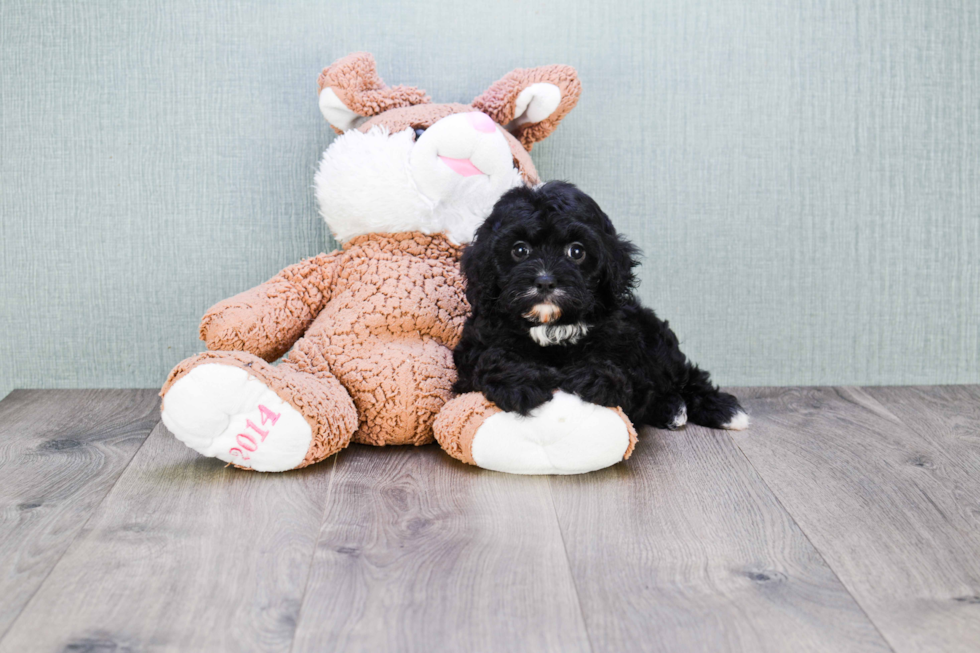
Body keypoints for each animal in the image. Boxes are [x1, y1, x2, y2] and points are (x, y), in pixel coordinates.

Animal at [454, 180, 752, 432]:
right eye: (519, 250)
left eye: (576, 251)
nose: (545, 281)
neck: (553, 325)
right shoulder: (477, 346)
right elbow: (492, 358)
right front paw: (521, 382)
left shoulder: (628, 347)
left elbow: (625, 373)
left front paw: (595, 377)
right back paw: (672, 409)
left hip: (656, 337)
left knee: (684, 374)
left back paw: (721, 409)